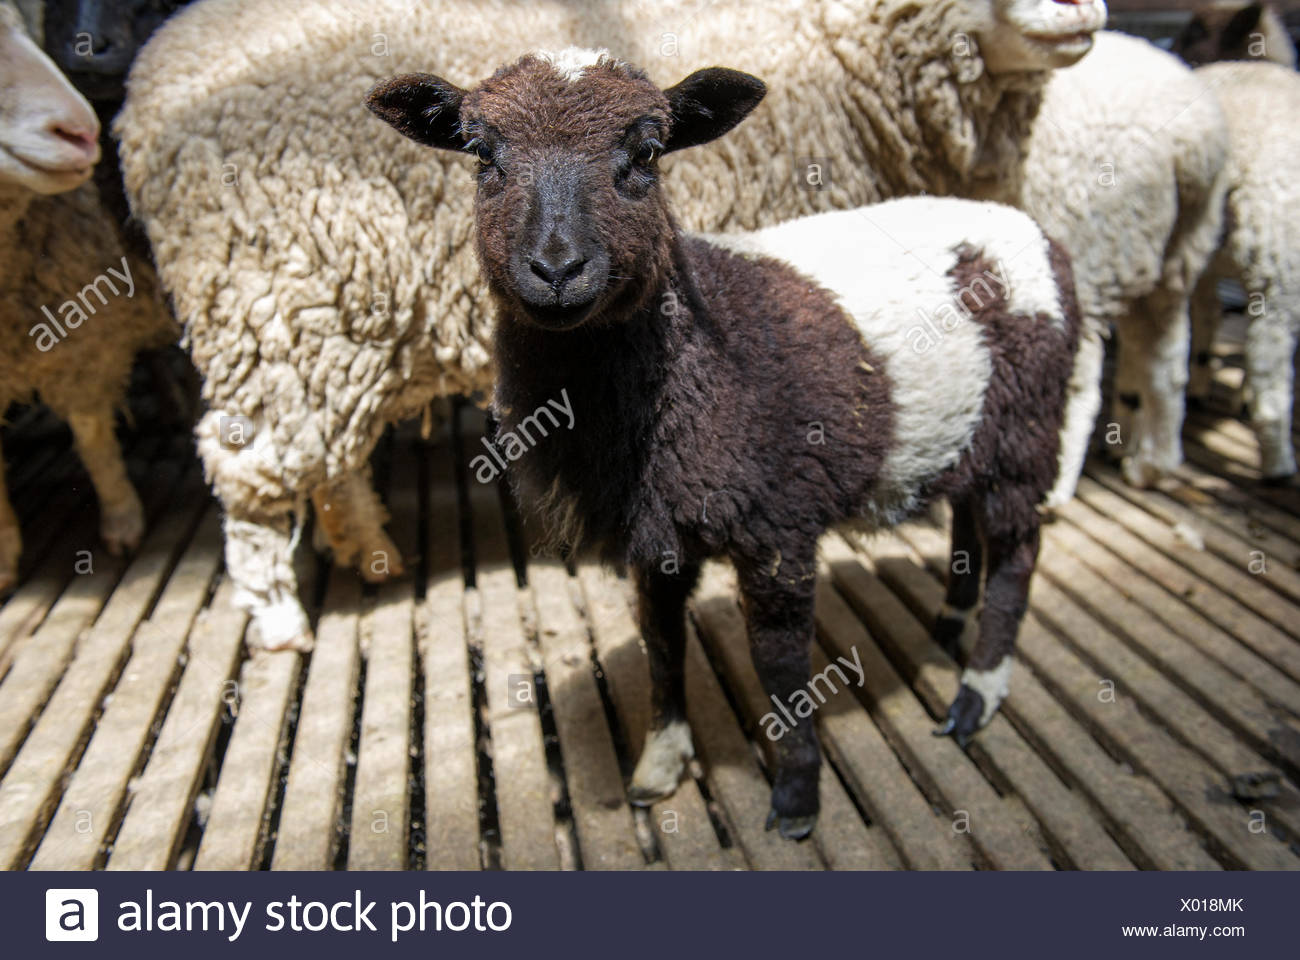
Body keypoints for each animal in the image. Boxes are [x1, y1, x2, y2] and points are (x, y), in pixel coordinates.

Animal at [116, 0, 1107, 650]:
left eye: (647, 153)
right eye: (481, 153)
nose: (1081, 6)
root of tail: (147, 82)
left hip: (321, 320)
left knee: (325, 459)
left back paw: (369, 551)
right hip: (273, 299)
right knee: (251, 460)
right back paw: (280, 616)